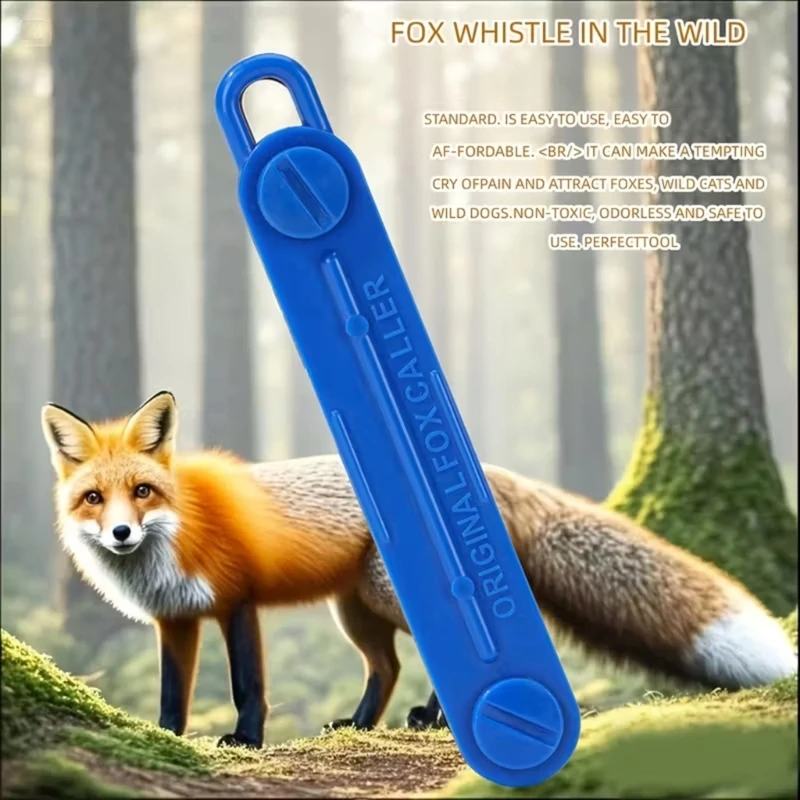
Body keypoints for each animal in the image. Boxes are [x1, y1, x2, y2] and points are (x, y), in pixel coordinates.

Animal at [41, 391, 797, 748]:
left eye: (143, 491)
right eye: (94, 498)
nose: (120, 534)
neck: (179, 533)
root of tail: (480, 474)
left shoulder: (236, 603)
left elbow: (248, 685)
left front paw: (246, 740)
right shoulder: (175, 620)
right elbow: (173, 692)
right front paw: (165, 737)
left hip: (385, 597)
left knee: (446, 649)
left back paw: (435, 718)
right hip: (353, 611)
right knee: (389, 665)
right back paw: (360, 723)